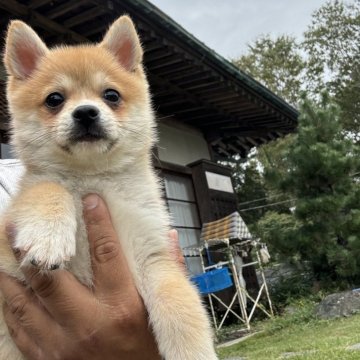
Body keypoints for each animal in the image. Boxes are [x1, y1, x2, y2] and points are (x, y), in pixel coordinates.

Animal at [0, 16, 217, 360]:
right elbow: (47, 188)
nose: (86, 112)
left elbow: (181, 309)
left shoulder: (153, 256)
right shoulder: (7, 252)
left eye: (111, 95)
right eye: (54, 99)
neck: (93, 178)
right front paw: (48, 237)